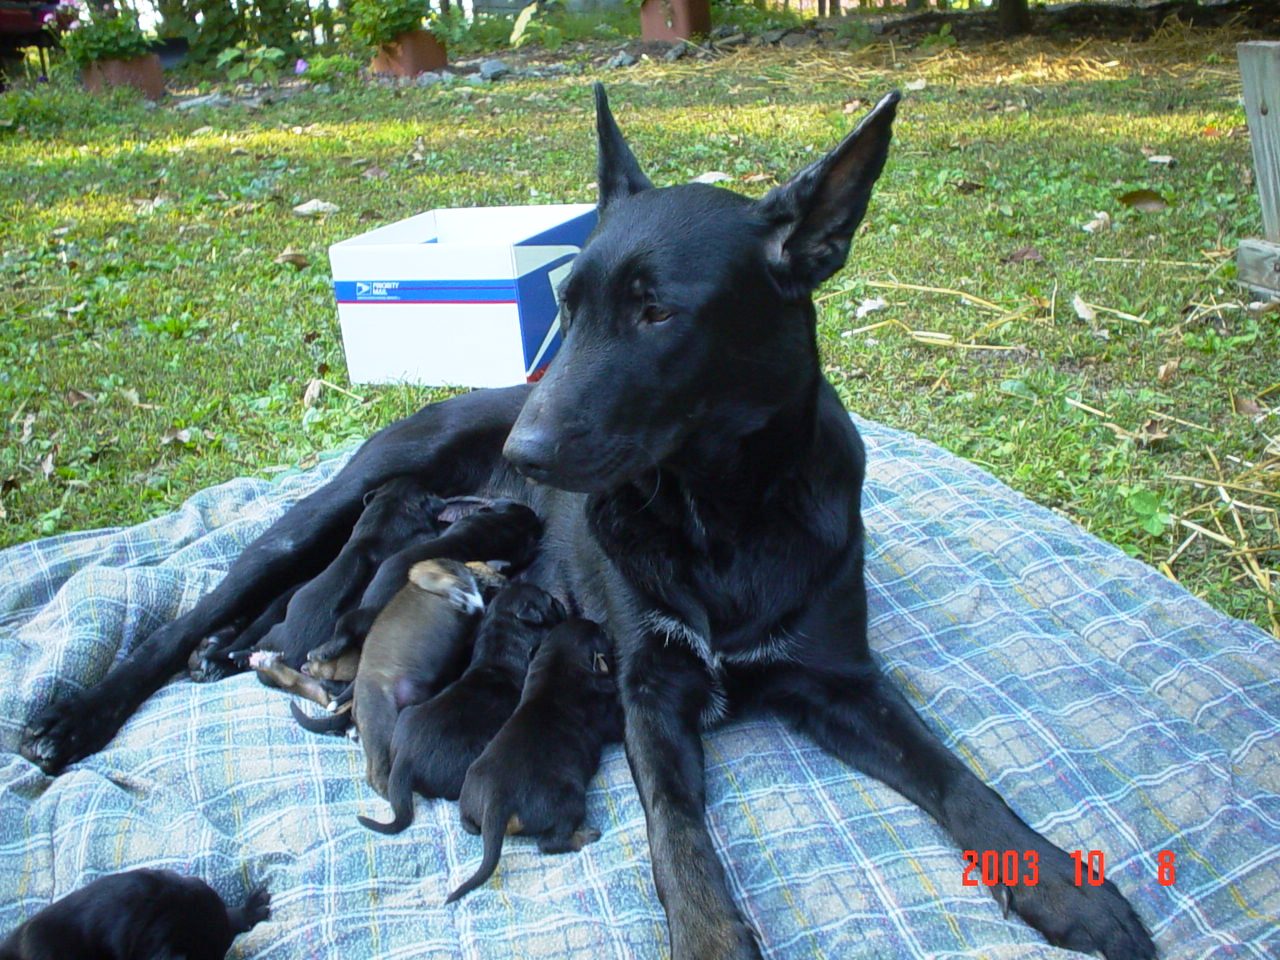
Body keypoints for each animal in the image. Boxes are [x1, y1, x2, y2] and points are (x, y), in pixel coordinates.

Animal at [448, 619, 622, 906]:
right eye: (600, 631)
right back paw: (586, 835)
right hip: (570, 799)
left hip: (470, 792)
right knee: (550, 843)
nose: (606, 626)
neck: (558, 662)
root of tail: (497, 802)